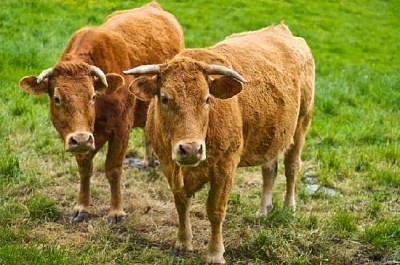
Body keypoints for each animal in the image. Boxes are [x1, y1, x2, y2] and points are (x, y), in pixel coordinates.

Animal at [17, 3, 183, 224]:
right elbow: (84, 167)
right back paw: (147, 162)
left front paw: (116, 211)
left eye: (92, 97)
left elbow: (112, 169)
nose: (80, 139)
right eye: (57, 99)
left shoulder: (121, 129)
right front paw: (82, 207)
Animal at [125, 24, 316, 262]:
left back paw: (289, 207)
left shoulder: (225, 167)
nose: (191, 149)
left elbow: (215, 211)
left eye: (207, 98)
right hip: (270, 136)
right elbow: (181, 203)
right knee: (269, 169)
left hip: (302, 122)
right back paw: (264, 209)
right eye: (165, 98)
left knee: (292, 167)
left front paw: (215, 254)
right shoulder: (169, 166)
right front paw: (182, 243)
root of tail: (281, 29)